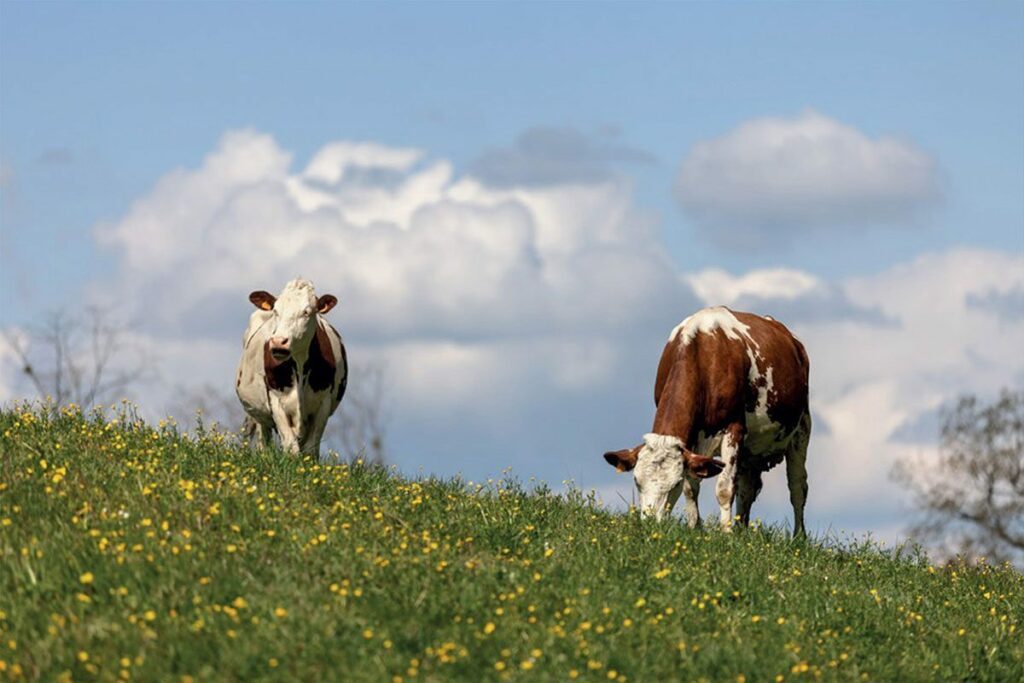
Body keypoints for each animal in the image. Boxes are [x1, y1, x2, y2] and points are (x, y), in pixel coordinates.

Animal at [235, 278, 348, 458]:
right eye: (276, 311)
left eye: (307, 312)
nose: (278, 342)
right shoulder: (276, 402)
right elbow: (290, 446)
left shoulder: (323, 404)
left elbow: (310, 448)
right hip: (258, 413)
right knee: (262, 440)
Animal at [602, 307, 811, 536]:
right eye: (636, 481)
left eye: (674, 484)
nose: (650, 524)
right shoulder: (693, 440)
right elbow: (692, 486)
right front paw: (695, 527)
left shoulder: (733, 429)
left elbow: (725, 488)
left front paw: (726, 534)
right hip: (750, 449)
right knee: (747, 489)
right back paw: (741, 530)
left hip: (801, 429)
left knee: (797, 487)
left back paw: (798, 536)